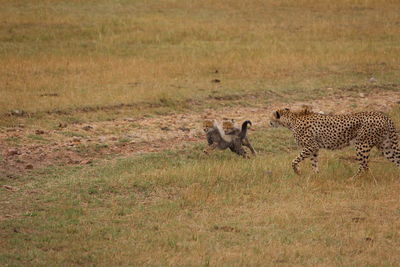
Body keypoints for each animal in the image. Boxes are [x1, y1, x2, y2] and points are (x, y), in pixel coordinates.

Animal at [268, 106, 400, 178]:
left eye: (271, 117)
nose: (269, 123)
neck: (291, 120)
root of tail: (383, 115)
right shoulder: (314, 149)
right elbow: (314, 163)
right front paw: (316, 176)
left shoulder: (310, 146)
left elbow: (294, 161)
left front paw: (298, 171)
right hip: (386, 147)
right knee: (394, 160)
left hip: (362, 145)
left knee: (364, 166)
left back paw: (353, 179)